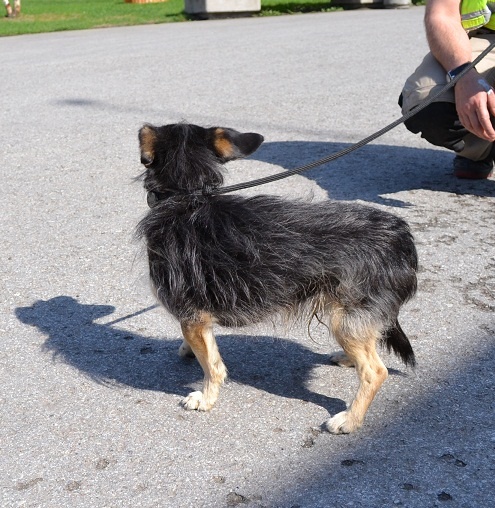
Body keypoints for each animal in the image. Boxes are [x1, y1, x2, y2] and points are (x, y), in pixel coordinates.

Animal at [135, 122, 418, 434]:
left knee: (375, 371)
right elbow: (200, 345)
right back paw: (347, 358)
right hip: (353, 318)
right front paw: (187, 349)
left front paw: (206, 398)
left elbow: (211, 364)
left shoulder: (191, 314)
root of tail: (401, 238)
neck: (187, 197)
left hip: (347, 315)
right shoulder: (196, 317)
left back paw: (349, 419)